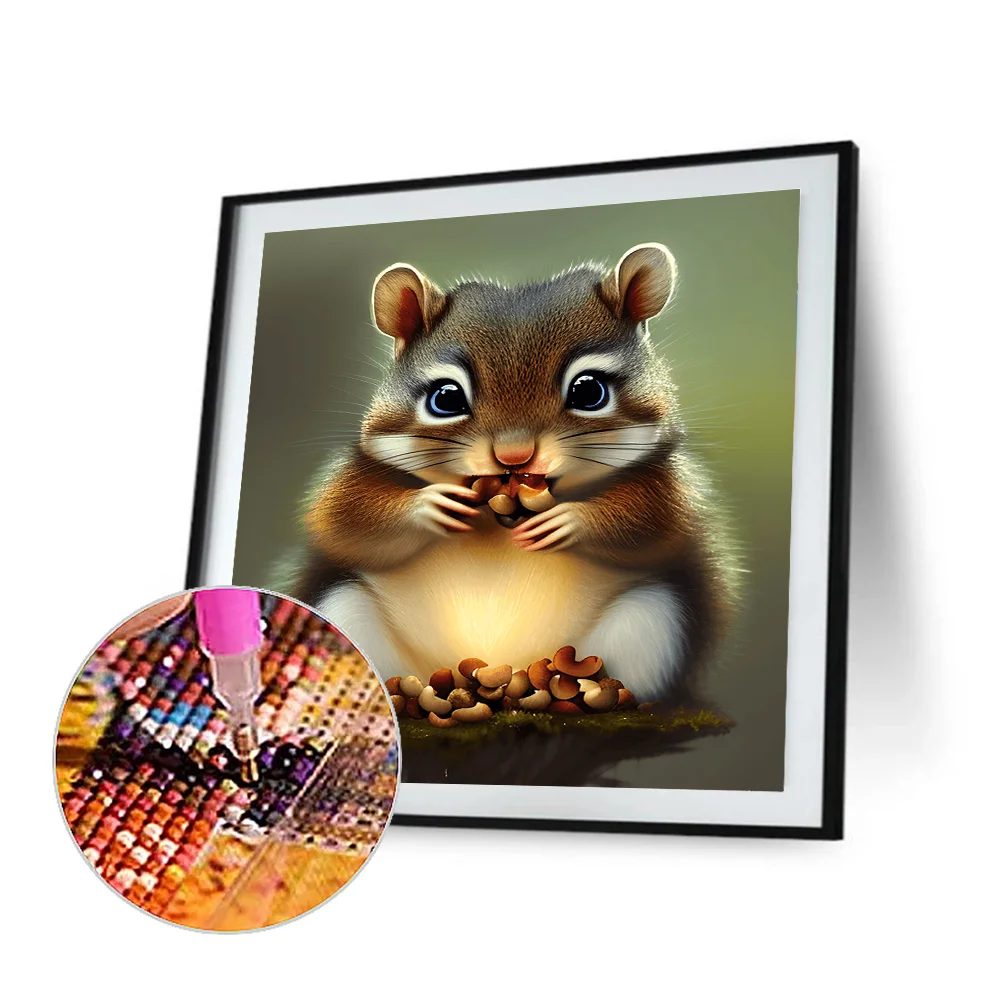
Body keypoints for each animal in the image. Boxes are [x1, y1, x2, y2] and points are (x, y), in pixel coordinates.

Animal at [283, 244, 737, 703]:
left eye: (590, 390)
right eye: (445, 398)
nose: (514, 456)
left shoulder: (667, 484)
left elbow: (656, 524)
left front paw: (567, 520)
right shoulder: (357, 474)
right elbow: (344, 522)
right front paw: (430, 505)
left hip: (651, 620)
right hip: (344, 612)